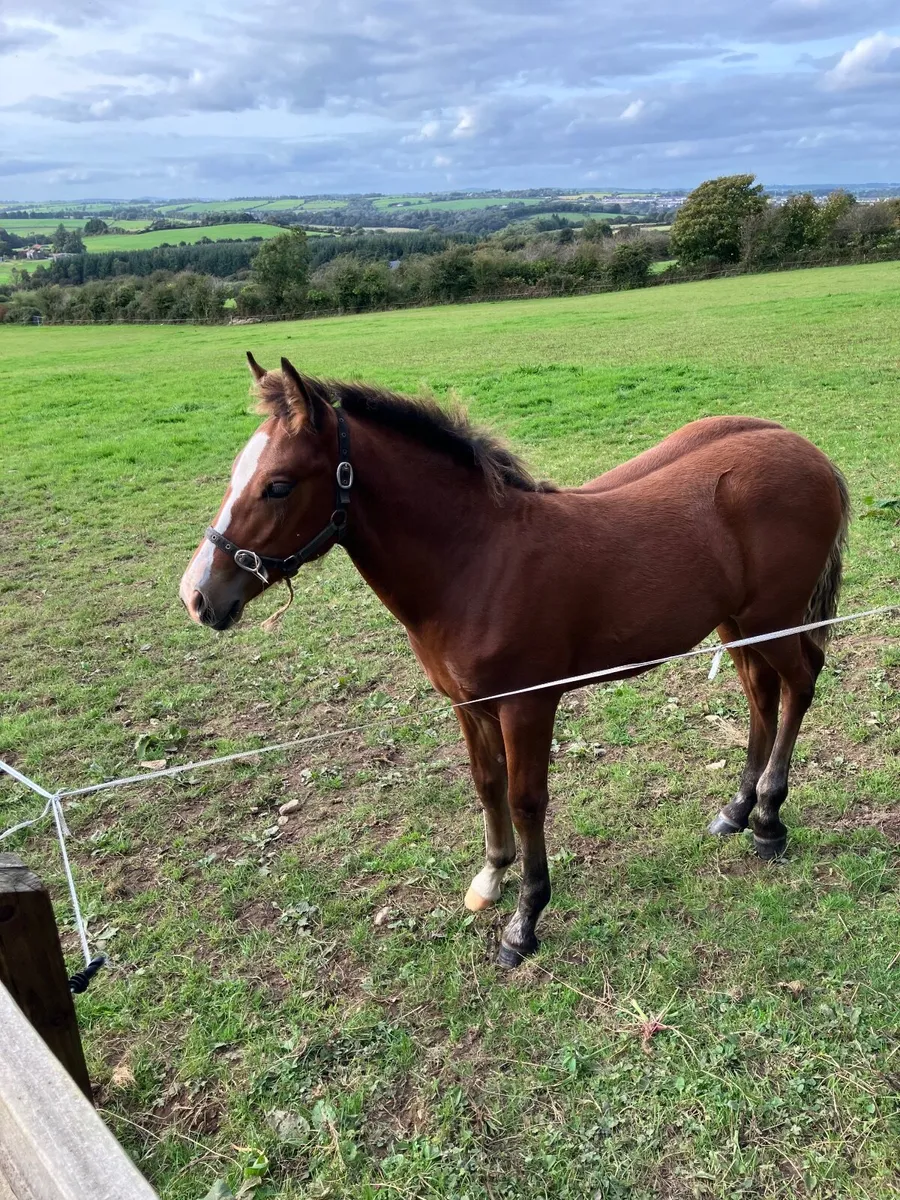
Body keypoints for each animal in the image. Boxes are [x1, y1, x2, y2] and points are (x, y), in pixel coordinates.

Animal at [180, 354, 850, 968]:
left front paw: (524, 922)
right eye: (236, 472)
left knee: (801, 683)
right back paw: (736, 811)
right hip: (737, 626)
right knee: (762, 695)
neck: (476, 561)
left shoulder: (528, 706)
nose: (198, 597)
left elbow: (528, 800)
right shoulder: (469, 704)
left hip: (774, 620)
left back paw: (769, 819)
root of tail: (810, 453)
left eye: (279, 484)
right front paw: (489, 880)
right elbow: (486, 784)